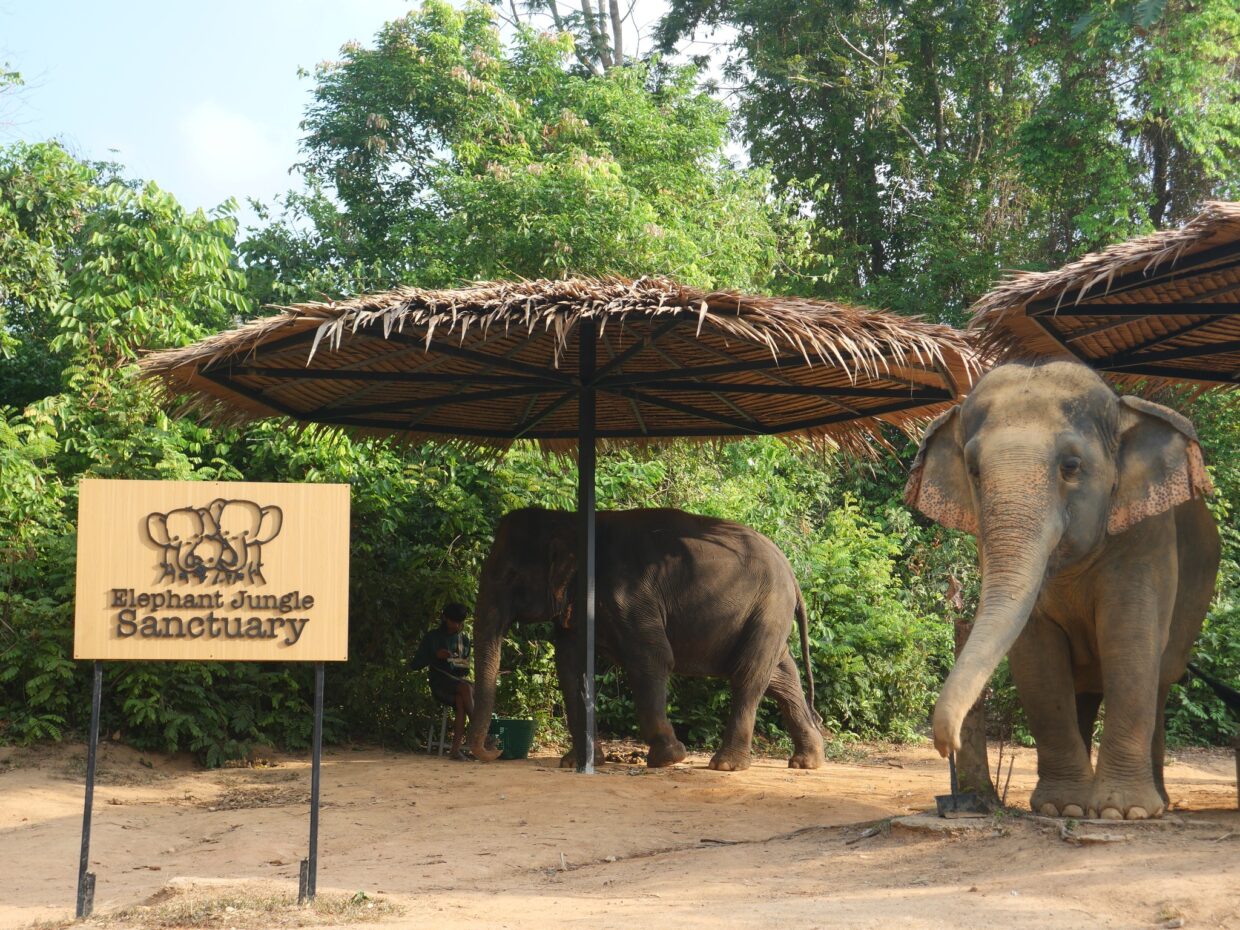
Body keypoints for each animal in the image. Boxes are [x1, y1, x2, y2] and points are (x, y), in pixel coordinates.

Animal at [464, 507, 825, 771]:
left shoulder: (632, 596)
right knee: (781, 676)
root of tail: (792, 573)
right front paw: (576, 762)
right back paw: (806, 762)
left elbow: (652, 658)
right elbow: (570, 669)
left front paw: (668, 758)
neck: (570, 519)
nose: (495, 748)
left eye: (511, 575)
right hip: (768, 615)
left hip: (768, 608)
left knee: (748, 674)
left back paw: (725, 766)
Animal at [905, 359, 1219, 820]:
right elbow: (1036, 656)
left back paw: (1157, 804)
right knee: (1083, 691)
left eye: (1071, 466)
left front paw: (1121, 813)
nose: (949, 745)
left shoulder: (1147, 536)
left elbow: (1129, 640)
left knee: (1158, 680)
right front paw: (1062, 808)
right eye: (974, 471)